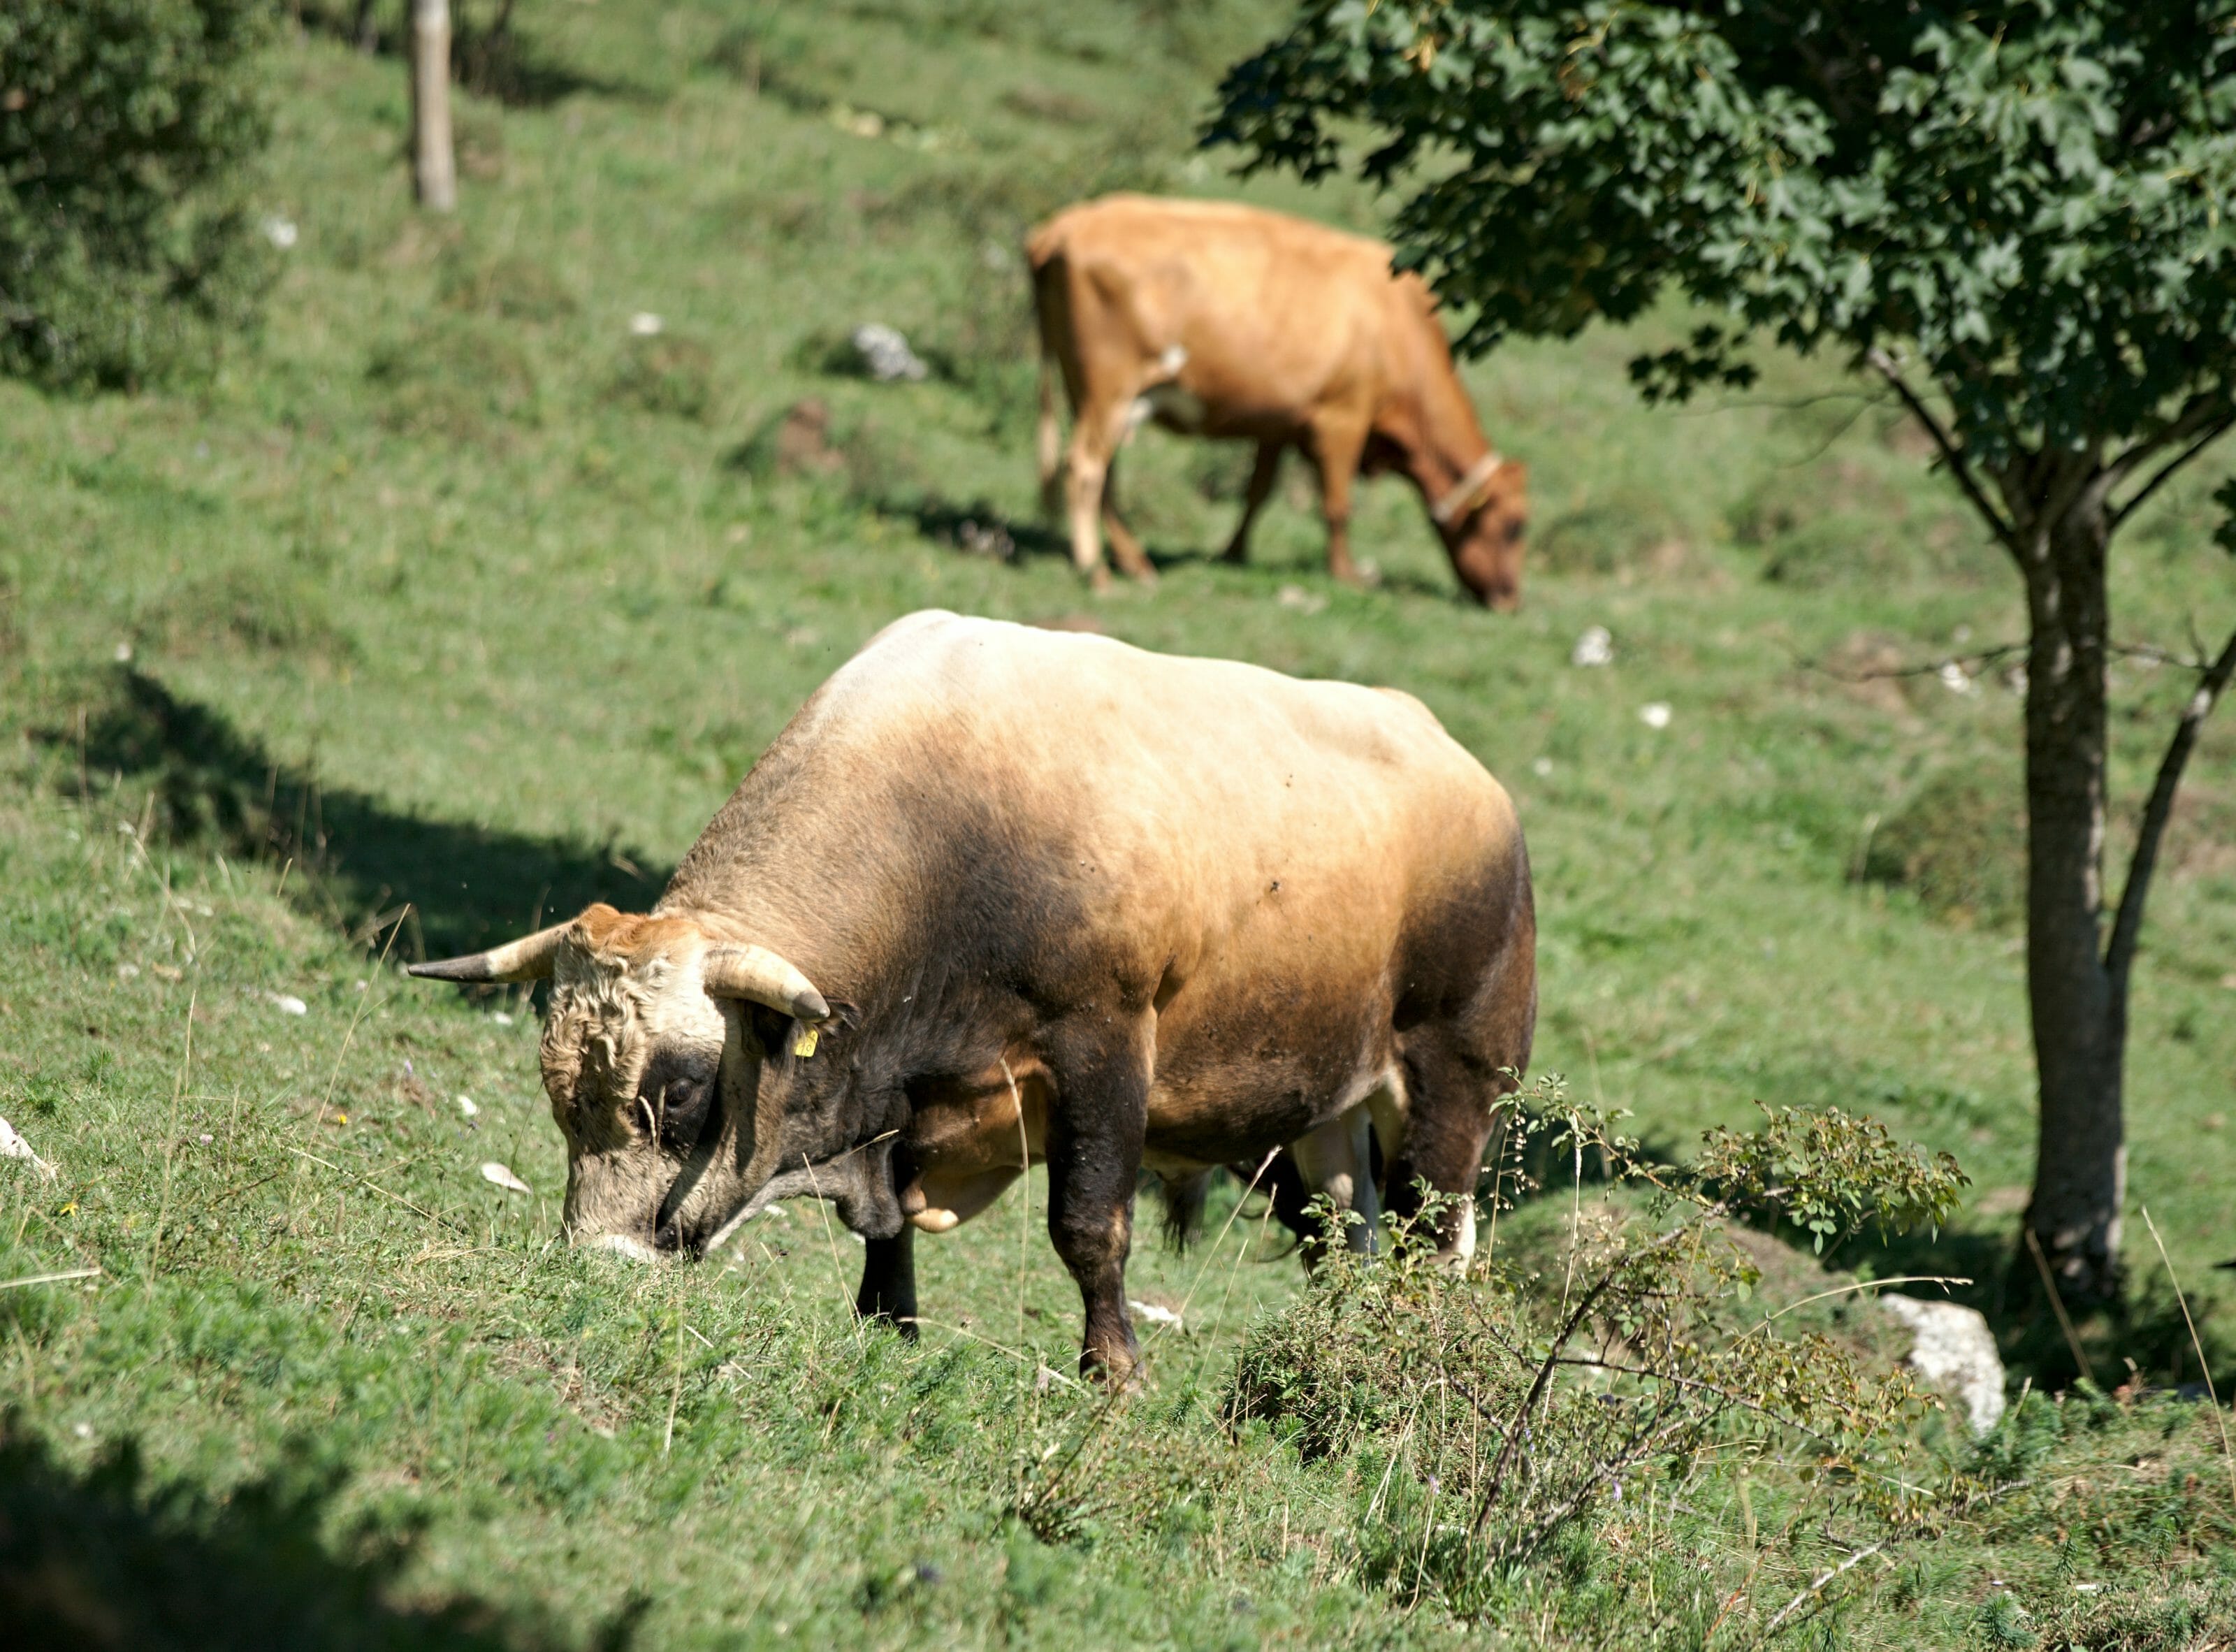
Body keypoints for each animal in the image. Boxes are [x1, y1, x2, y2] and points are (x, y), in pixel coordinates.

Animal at [1033, 193, 1538, 608]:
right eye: (1515, 526)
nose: (1510, 601)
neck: (1397, 327)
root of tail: (1064, 225)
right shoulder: (1343, 417)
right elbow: (1337, 504)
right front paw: (1346, 573)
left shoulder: (1278, 423)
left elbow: (1259, 491)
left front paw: (1233, 552)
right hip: (1110, 388)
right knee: (1085, 467)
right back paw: (1095, 570)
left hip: (1096, 394)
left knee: (1106, 476)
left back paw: (1134, 562)